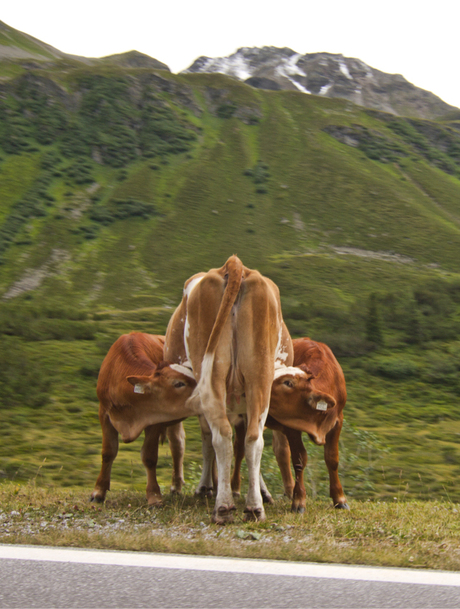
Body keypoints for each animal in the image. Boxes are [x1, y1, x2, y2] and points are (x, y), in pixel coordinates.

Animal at [91, 332, 196, 504]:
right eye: (179, 383)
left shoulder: (155, 420)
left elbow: (149, 457)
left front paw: (154, 495)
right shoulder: (104, 414)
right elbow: (108, 452)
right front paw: (98, 491)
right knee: (177, 443)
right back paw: (176, 486)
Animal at [165, 255, 292, 524]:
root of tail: (234, 264)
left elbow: (207, 441)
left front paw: (206, 487)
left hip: (213, 373)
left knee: (221, 435)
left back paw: (223, 505)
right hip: (259, 375)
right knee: (253, 438)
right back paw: (253, 507)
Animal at [232, 334, 346, 510]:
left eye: (288, 382)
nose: (256, 385)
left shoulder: (337, 421)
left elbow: (332, 459)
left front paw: (339, 499)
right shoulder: (292, 425)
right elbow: (299, 459)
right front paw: (299, 500)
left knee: (280, 451)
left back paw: (287, 490)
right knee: (239, 448)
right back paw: (234, 488)